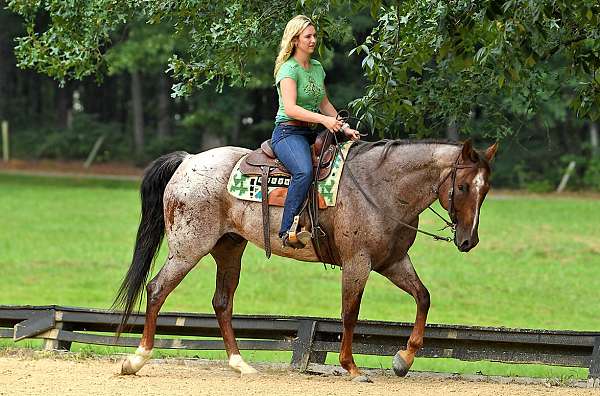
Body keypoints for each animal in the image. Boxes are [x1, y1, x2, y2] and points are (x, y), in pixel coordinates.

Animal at [112, 138, 496, 380]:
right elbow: (350, 313)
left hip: (229, 248)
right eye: (463, 187)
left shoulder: (393, 261)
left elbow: (423, 297)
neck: (380, 186)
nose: (469, 240)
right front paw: (351, 368)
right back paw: (136, 359)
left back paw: (240, 364)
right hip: (188, 248)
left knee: (221, 302)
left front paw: (404, 359)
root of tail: (190, 160)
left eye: (486, 189)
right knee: (157, 289)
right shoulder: (358, 263)